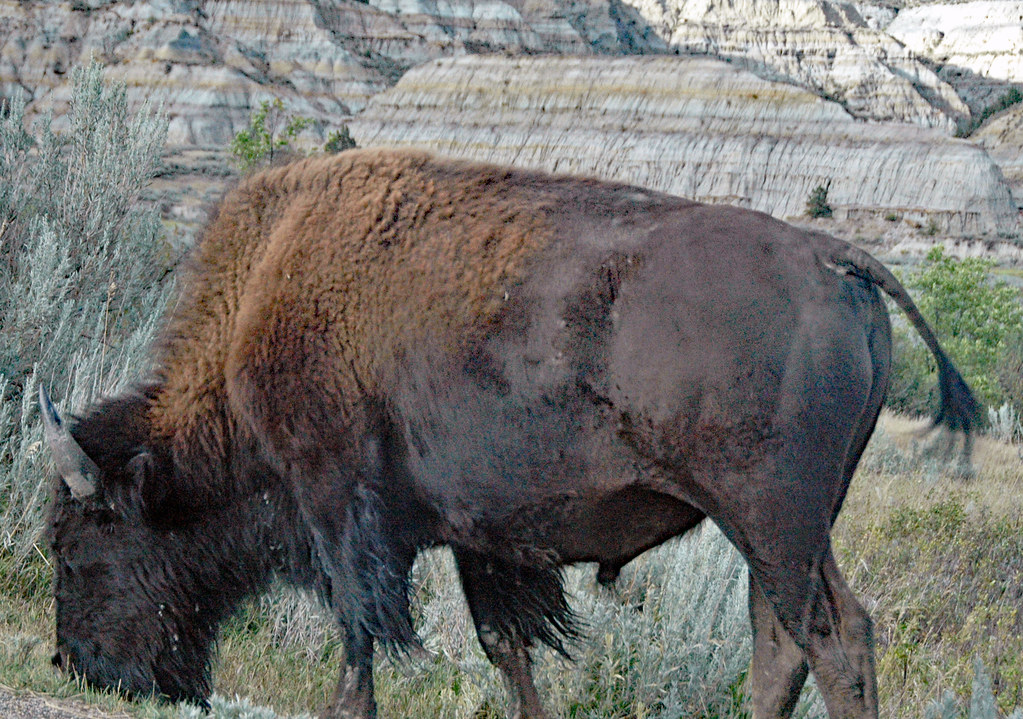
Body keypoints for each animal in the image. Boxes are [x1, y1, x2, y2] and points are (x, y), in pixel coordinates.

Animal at [42, 149, 979, 719]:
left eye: (81, 544)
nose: (75, 664)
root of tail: (833, 256)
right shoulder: (479, 537)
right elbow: (505, 645)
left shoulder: (336, 503)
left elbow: (358, 632)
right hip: (787, 528)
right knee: (785, 639)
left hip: (770, 517)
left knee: (829, 637)